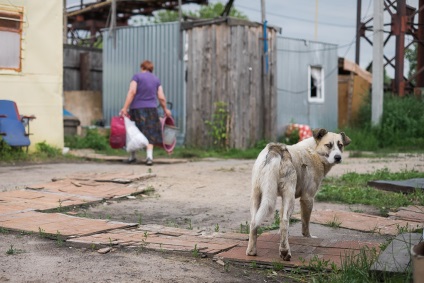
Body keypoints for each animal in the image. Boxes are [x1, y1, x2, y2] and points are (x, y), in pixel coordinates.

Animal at [245, 129, 352, 262]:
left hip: (257, 195)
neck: (314, 151)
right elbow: (305, 224)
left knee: (254, 222)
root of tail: (276, 149)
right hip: (289, 197)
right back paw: (285, 252)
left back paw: (251, 251)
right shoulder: (307, 198)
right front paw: (308, 238)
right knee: (284, 222)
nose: (338, 157)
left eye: (340, 145)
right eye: (328, 145)